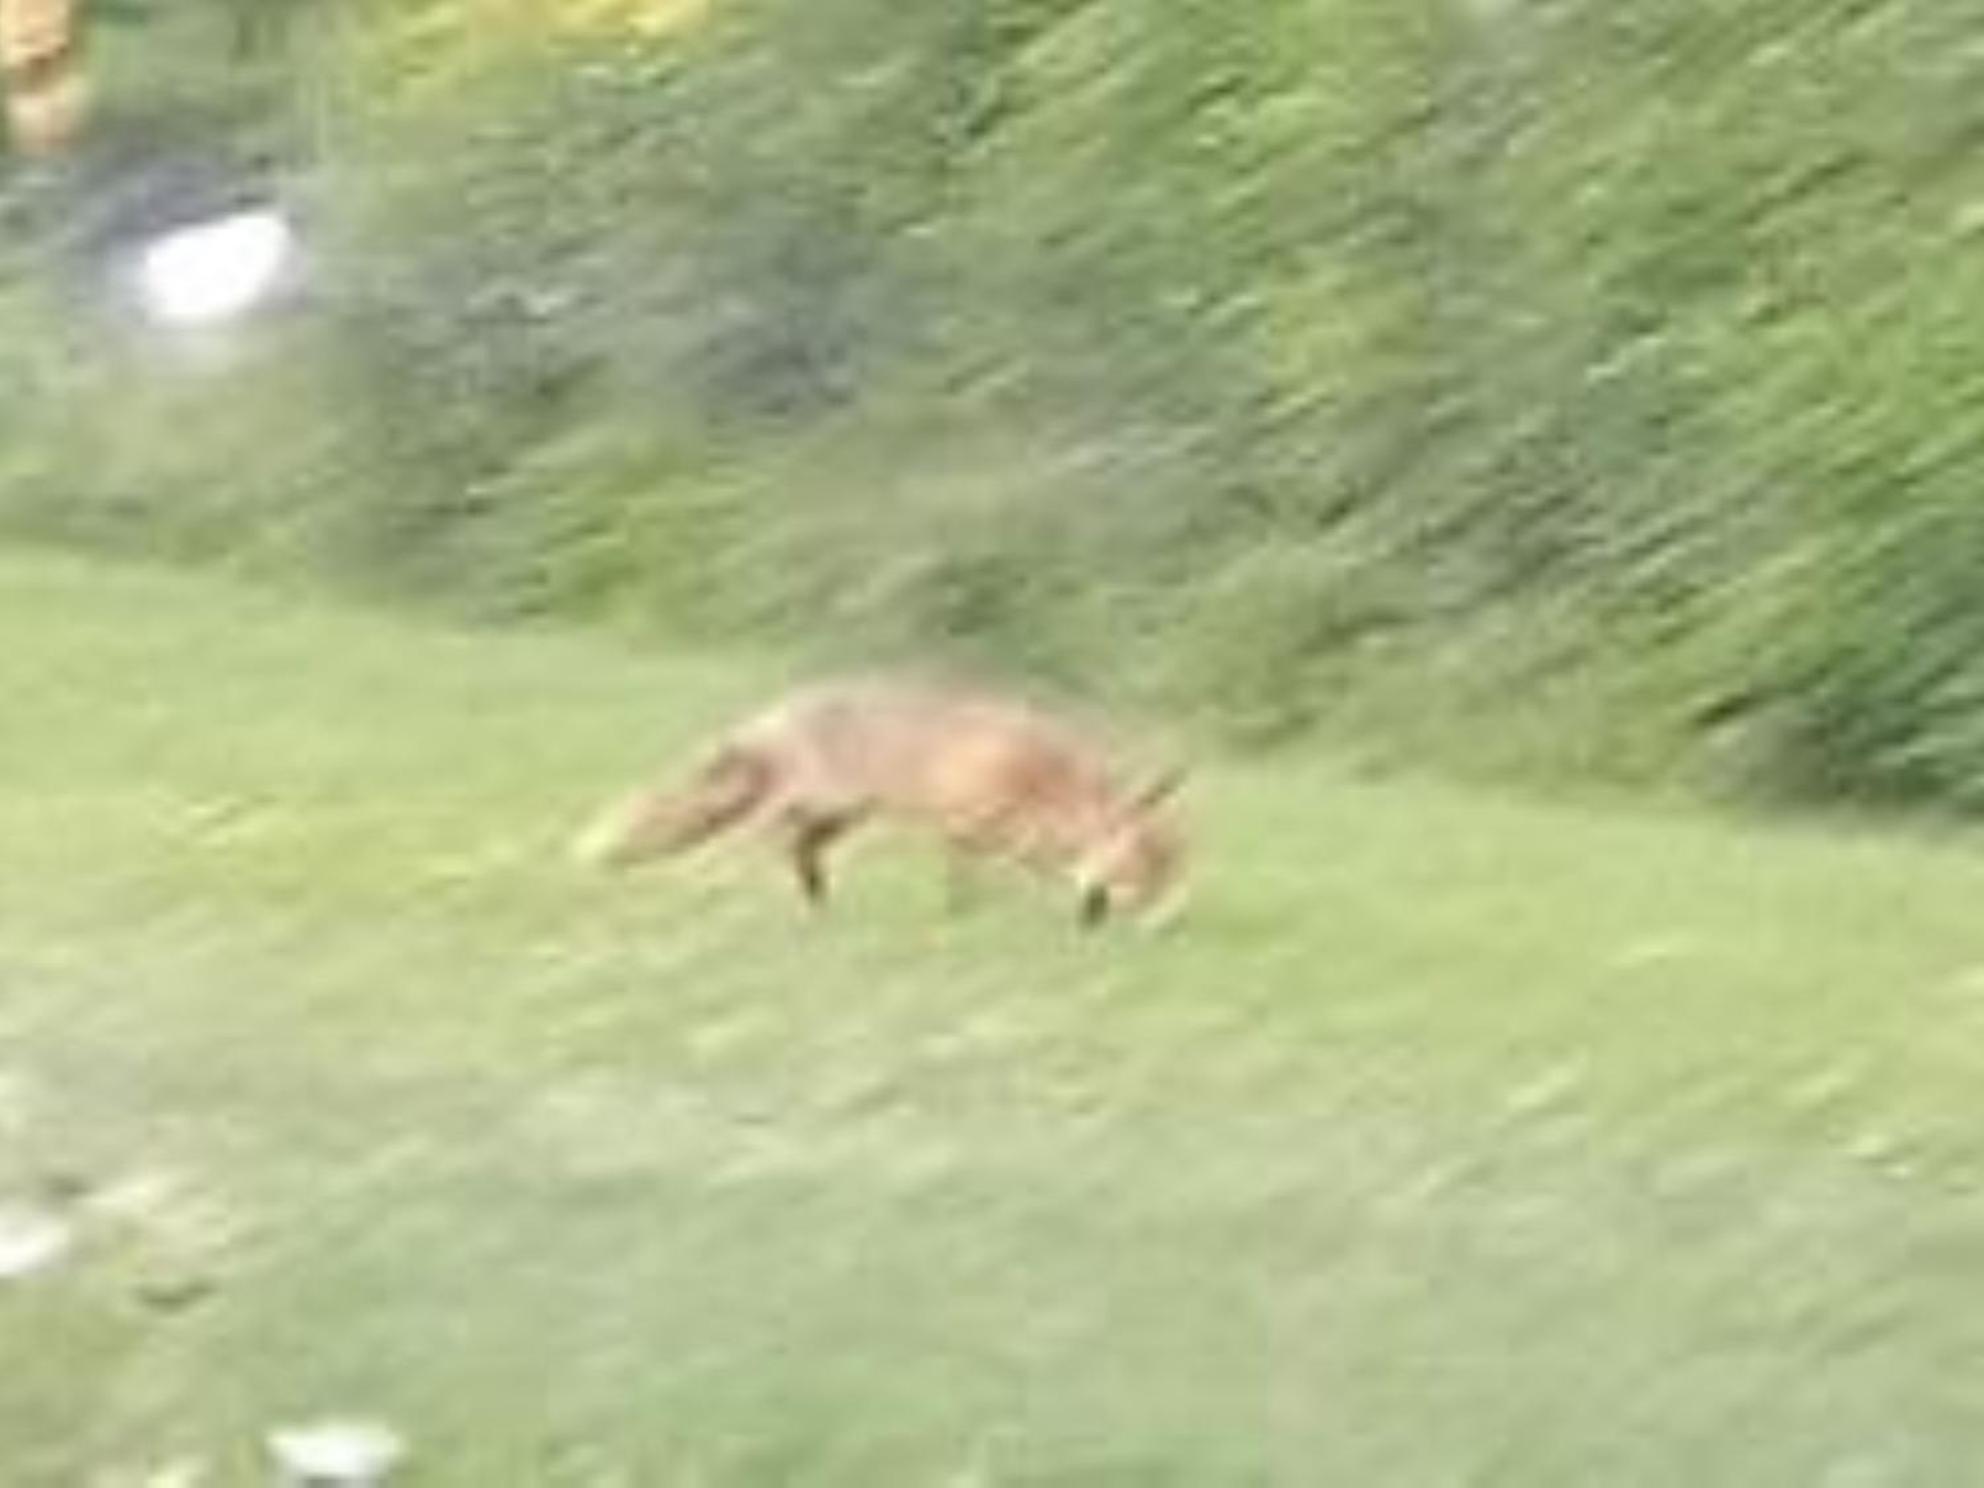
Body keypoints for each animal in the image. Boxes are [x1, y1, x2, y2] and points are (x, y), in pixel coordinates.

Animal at [575, 678, 1190, 932]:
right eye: (1147, 871)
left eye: (1172, 875)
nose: (1163, 929)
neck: (1046, 785)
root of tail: (777, 710)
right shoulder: (965, 825)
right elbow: (967, 884)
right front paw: (964, 922)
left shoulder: (1006, 840)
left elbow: (1031, 879)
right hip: (803, 802)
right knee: (750, 838)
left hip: (836, 820)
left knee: (795, 854)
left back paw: (816, 908)